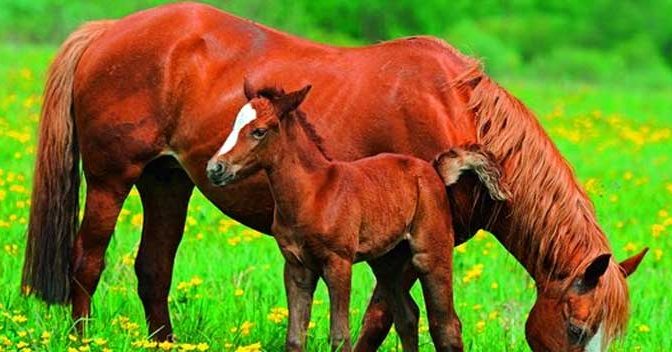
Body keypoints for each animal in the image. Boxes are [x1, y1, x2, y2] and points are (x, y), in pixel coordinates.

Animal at [206, 82, 510, 350]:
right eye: (234, 125)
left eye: (259, 131)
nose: (215, 168)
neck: (313, 193)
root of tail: (434, 170)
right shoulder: (296, 266)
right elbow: (294, 338)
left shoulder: (338, 262)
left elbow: (340, 337)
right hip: (387, 263)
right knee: (407, 316)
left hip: (430, 252)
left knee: (446, 325)